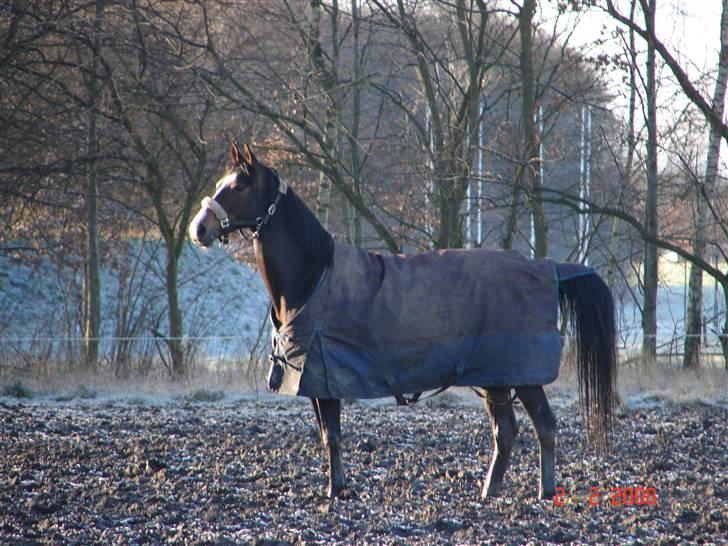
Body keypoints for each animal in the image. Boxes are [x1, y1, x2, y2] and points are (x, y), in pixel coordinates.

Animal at [188, 141, 616, 498]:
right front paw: (336, 488)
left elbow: (332, 436)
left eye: (238, 187)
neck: (312, 277)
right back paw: (488, 493)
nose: (199, 228)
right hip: (496, 376)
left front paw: (336, 492)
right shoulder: (315, 381)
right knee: (506, 431)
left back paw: (545, 492)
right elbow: (327, 435)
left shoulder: (325, 376)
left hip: (523, 375)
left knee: (545, 425)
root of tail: (547, 268)